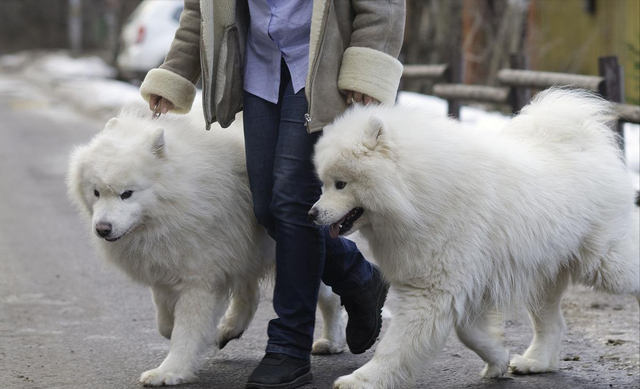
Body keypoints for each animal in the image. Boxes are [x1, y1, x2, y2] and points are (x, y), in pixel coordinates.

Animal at [67, 112, 348, 384]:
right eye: (96, 192)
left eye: (127, 194)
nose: (102, 228)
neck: (178, 200)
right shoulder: (165, 266)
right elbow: (165, 322)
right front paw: (189, 336)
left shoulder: (199, 277)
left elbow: (185, 330)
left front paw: (170, 372)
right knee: (251, 294)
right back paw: (230, 329)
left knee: (331, 297)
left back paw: (332, 340)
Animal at [308, 88, 636, 388]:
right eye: (323, 183)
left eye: (341, 184)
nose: (311, 213)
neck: (418, 192)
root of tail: (587, 146)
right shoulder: (463, 281)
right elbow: (469, 333)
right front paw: (498, 359)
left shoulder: (433, 287)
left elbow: (397, 344)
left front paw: (362, 380)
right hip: (541, 274)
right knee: (551, 323)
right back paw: (535, 363)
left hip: (605, 264)